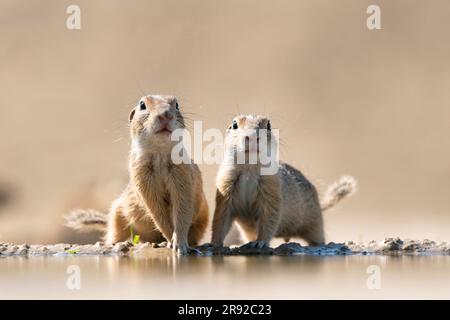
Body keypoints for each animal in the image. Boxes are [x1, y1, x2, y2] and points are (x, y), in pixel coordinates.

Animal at [65, 94, 209, 254]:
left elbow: (182, 211)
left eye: (177, 104)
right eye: (142, 105)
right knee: (115, 233)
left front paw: (180, 244)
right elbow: (158, 213)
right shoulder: (142, 179)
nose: (165, 115)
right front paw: (171, 241)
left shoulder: (182, 177)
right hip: (117, 215)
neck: (159, 154)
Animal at [211, 114, 356, 248]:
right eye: (234, 124)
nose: (251, 137)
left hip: (315, 223)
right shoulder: (225, 189)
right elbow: (220, 220)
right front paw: (214, 243)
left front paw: (260, 242)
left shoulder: (272, 189)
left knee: (318, 236)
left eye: (268, 125)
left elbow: (269, 219)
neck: (249, 169)